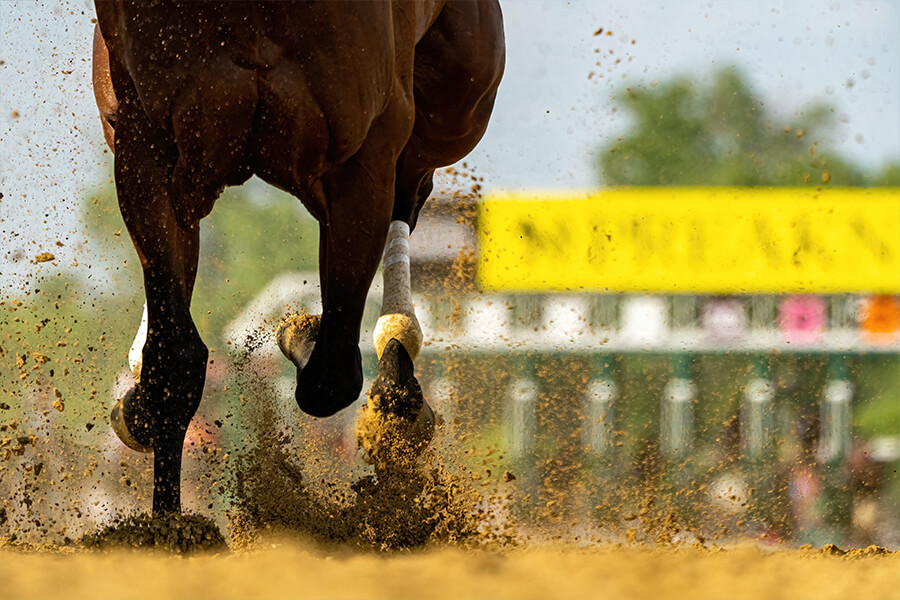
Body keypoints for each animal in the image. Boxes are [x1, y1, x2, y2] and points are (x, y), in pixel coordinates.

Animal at [94, 0, 502, 516]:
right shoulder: (146, 139)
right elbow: (176, 359)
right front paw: (166, 520)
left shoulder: (365, 153)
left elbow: (333, 375)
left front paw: (306, 334)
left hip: (457, 98)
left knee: (411, 189)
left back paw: (394, 379)